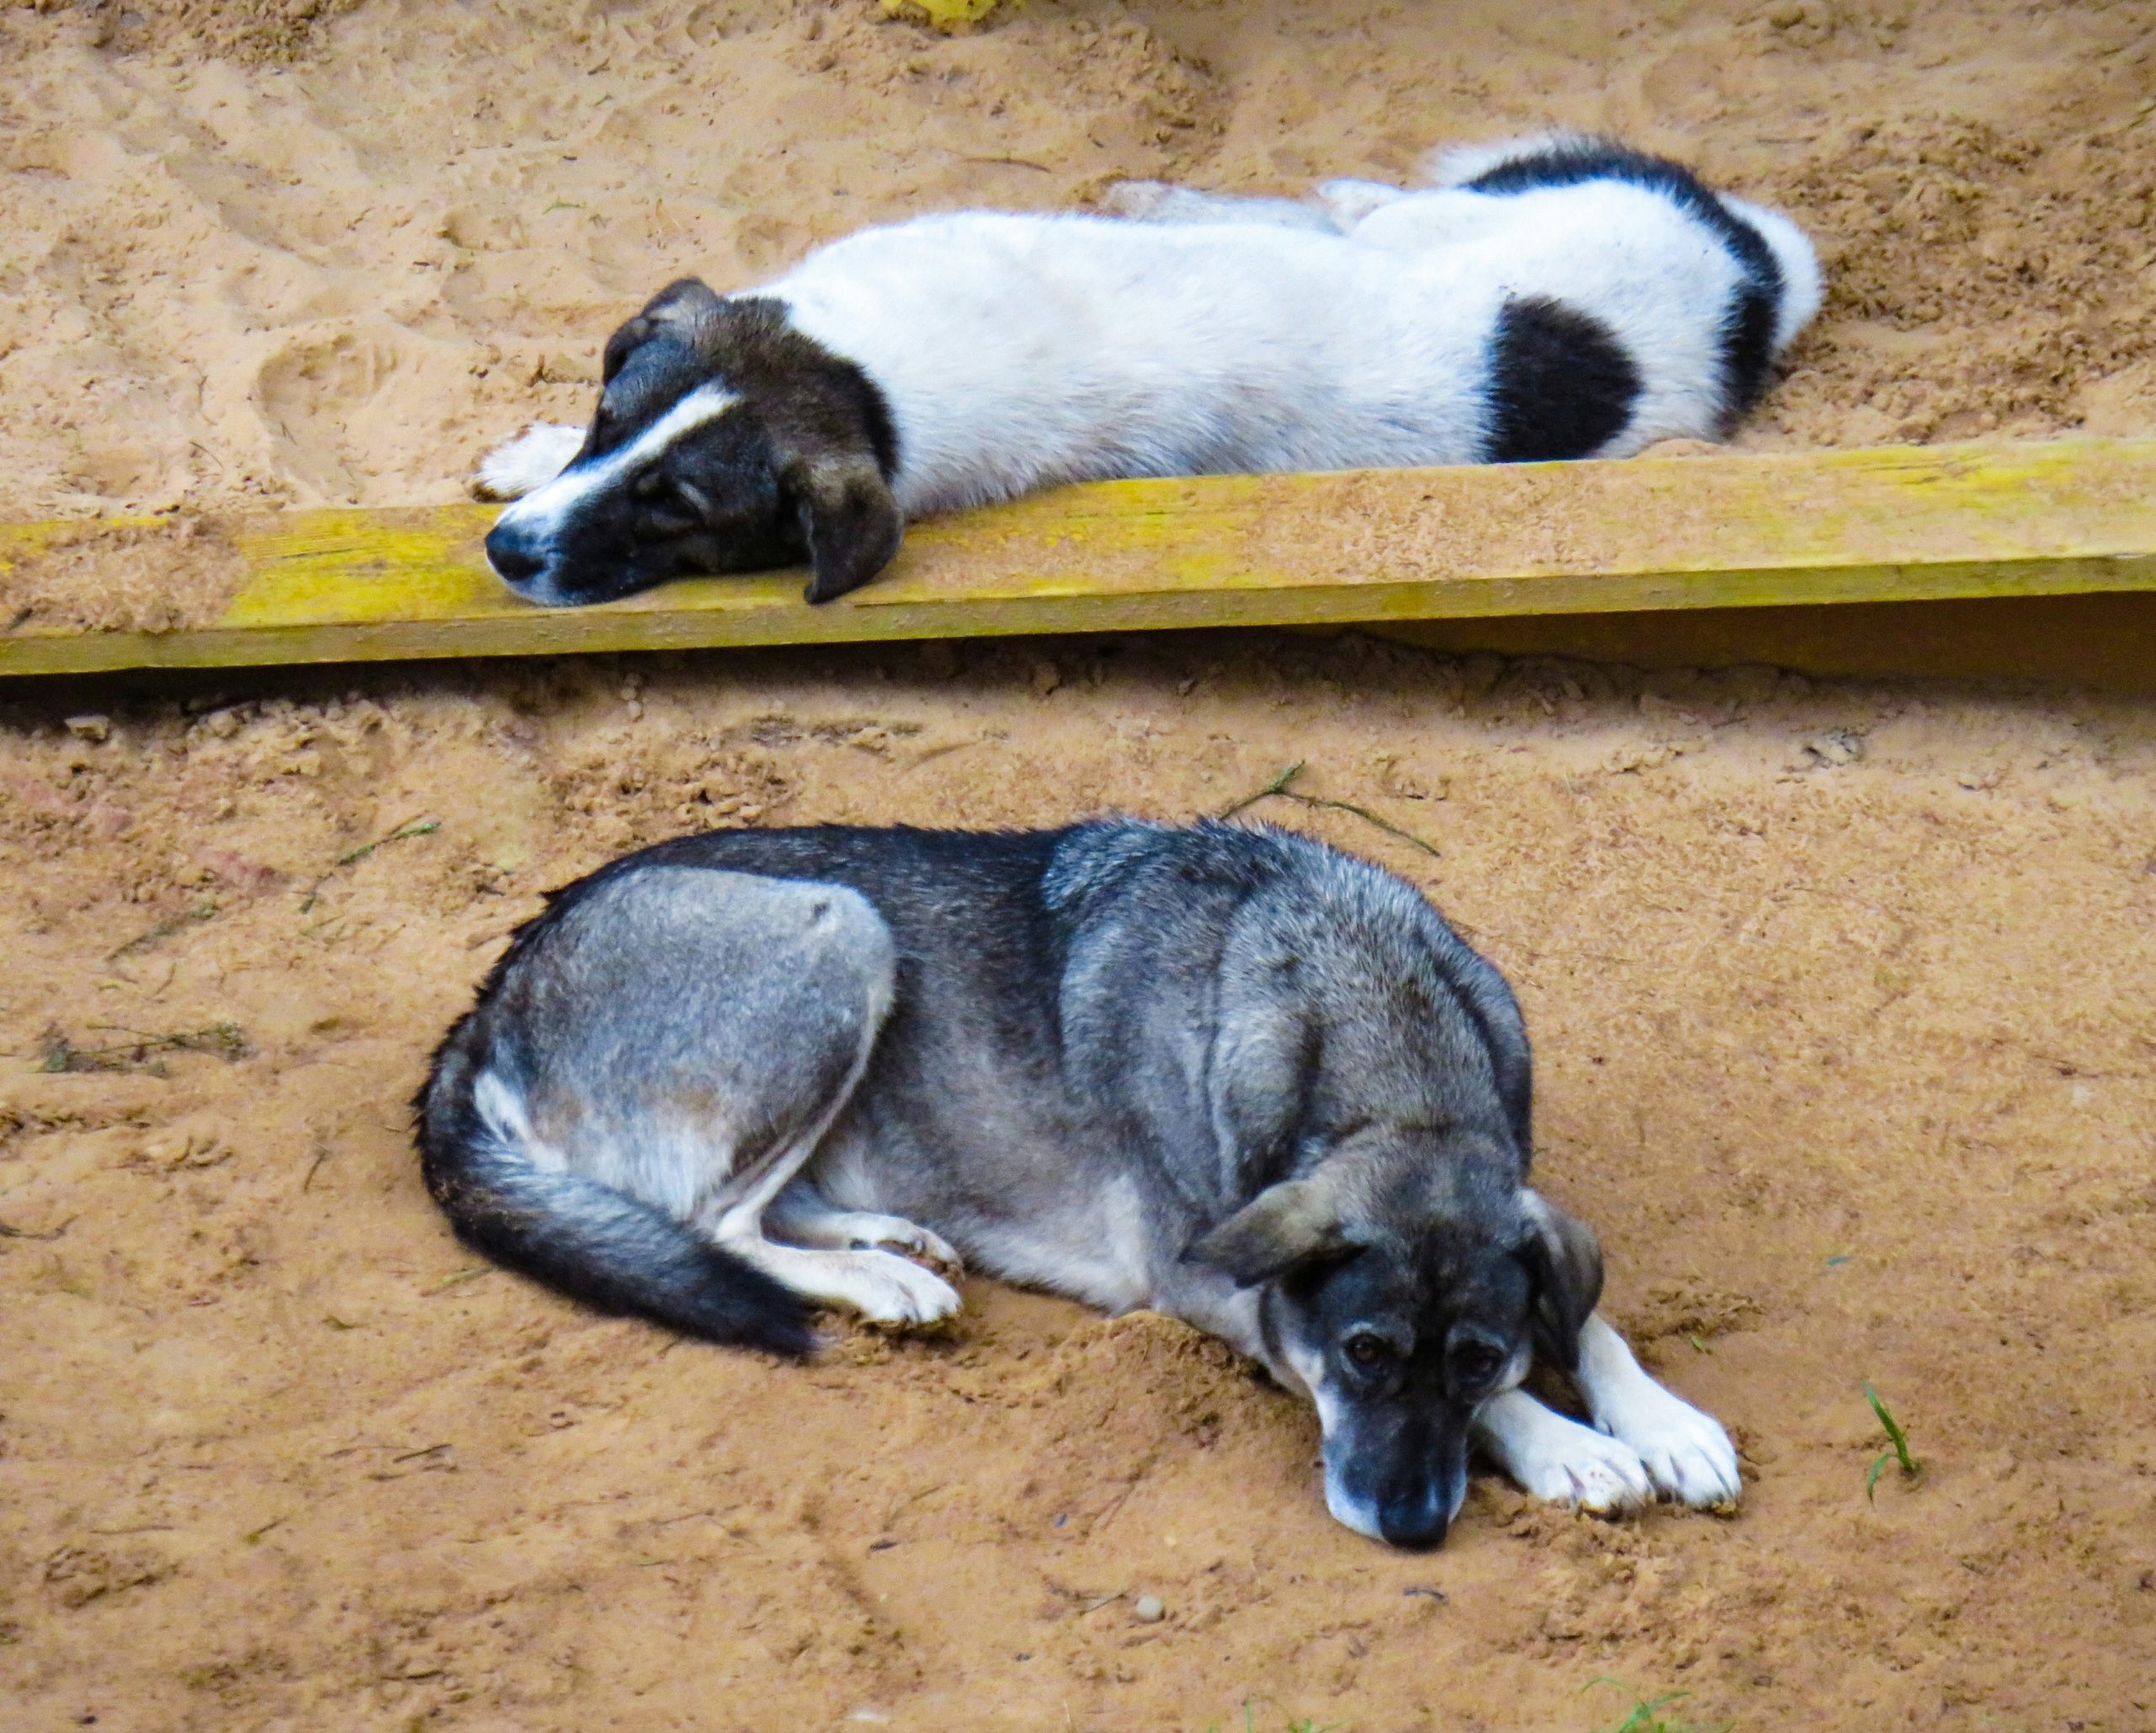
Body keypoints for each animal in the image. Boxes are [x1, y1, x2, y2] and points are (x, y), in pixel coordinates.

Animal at [416, 819, 1733, 1551]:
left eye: (1475, 1355)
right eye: (1362, 1353)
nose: (1410, 1532)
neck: (1387, 1056)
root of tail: (492, 995)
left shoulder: (1520, 1208)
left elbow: (1589, 1316)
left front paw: (1658, 1419)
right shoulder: (1216, 1277)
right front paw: (1566, 1445)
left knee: (758, 1208)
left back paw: (893, 1235)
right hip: (839, 930)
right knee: (713, 1223)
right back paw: (883, 1279)